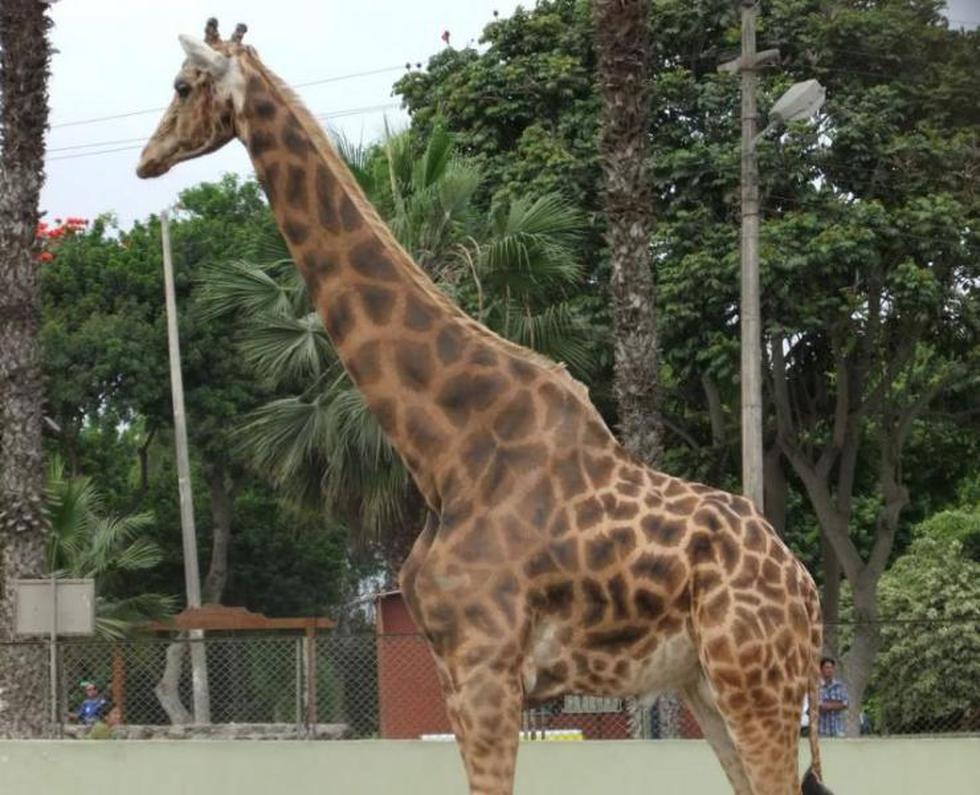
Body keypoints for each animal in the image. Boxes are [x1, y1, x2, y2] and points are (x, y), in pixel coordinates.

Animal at [136, 21, 835, 795]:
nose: (146, 160)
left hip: (754, 681)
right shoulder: (455, 664)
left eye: (181, 86)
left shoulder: (484, 662)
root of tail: (807, 592)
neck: (445, 451)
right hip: (705, 684)